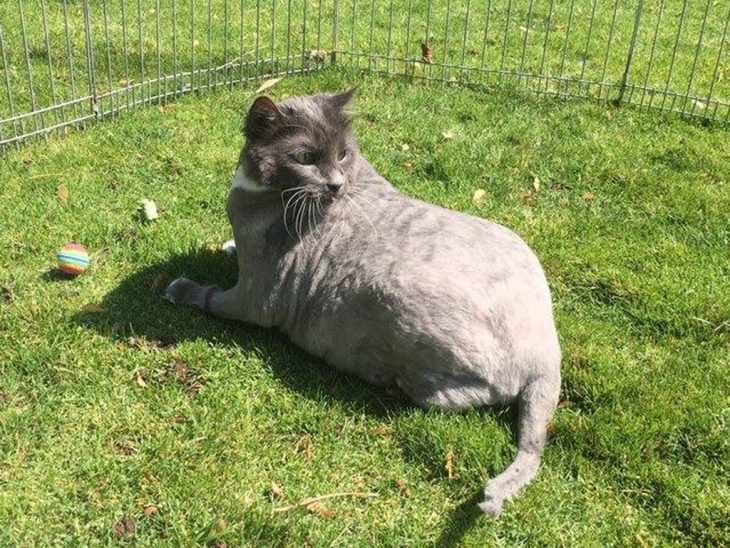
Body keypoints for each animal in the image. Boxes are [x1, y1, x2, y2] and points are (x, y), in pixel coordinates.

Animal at [166, 91, 564, 520]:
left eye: (340, 154)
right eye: (306, 157)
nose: (335, 185)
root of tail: (546, 355)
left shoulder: (255, 297)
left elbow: (210, 297)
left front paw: (181, 288)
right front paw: (226, 246)